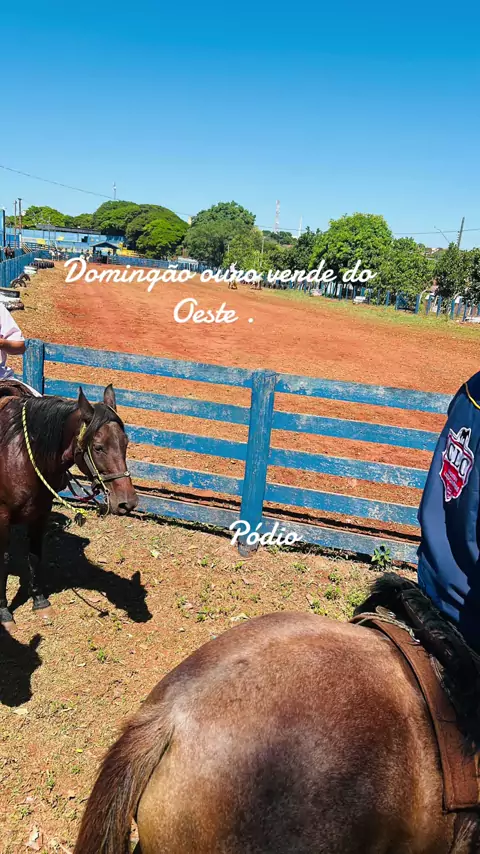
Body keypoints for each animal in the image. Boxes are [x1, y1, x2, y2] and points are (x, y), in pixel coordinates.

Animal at [0, 384, 138, 627]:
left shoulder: (40, 512)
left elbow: (34, 554)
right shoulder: (2, 516)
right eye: (98, 447)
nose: (127, 502)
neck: (21, 455)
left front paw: (39, 601)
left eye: (125, 443)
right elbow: (3, 562)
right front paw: (4, 612)